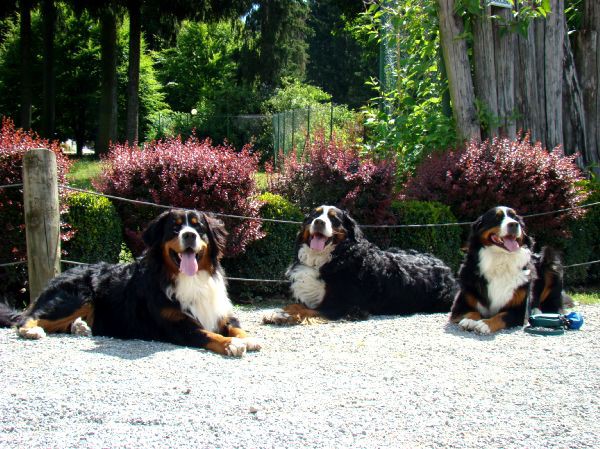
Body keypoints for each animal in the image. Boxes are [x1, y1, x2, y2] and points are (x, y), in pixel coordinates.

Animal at [1, 207, 262, 356]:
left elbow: (237, 327)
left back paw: (79, 327)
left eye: (199, 228)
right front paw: (231, 344)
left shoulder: (220, 312)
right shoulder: (176, 323)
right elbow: (209, 335)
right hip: (78, 296)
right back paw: (32, 331)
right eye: (175, 228)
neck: (190, 278)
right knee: (28, 317)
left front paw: (249, 339)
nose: (189, 235)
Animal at [264, 205, 460, 324]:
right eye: (314, 215)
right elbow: (294, 305)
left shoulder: (342, 304)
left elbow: (305, 310)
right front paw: (277, 312)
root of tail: (444, 266)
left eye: (334, 219)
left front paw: (281, 316)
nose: (318, 222)